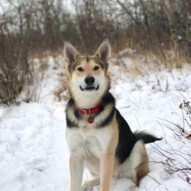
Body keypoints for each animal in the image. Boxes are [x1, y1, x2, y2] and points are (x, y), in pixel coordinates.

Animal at [64, 39, 161, 191]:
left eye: (96, 68)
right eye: (80, 69)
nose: (89, 79)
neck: (88, 109)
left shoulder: (106, 154)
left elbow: (105, 184)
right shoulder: (75, 155)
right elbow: (75, 185)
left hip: (137, 148)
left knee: (137, 179)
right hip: (89, 161)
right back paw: (88, 184)